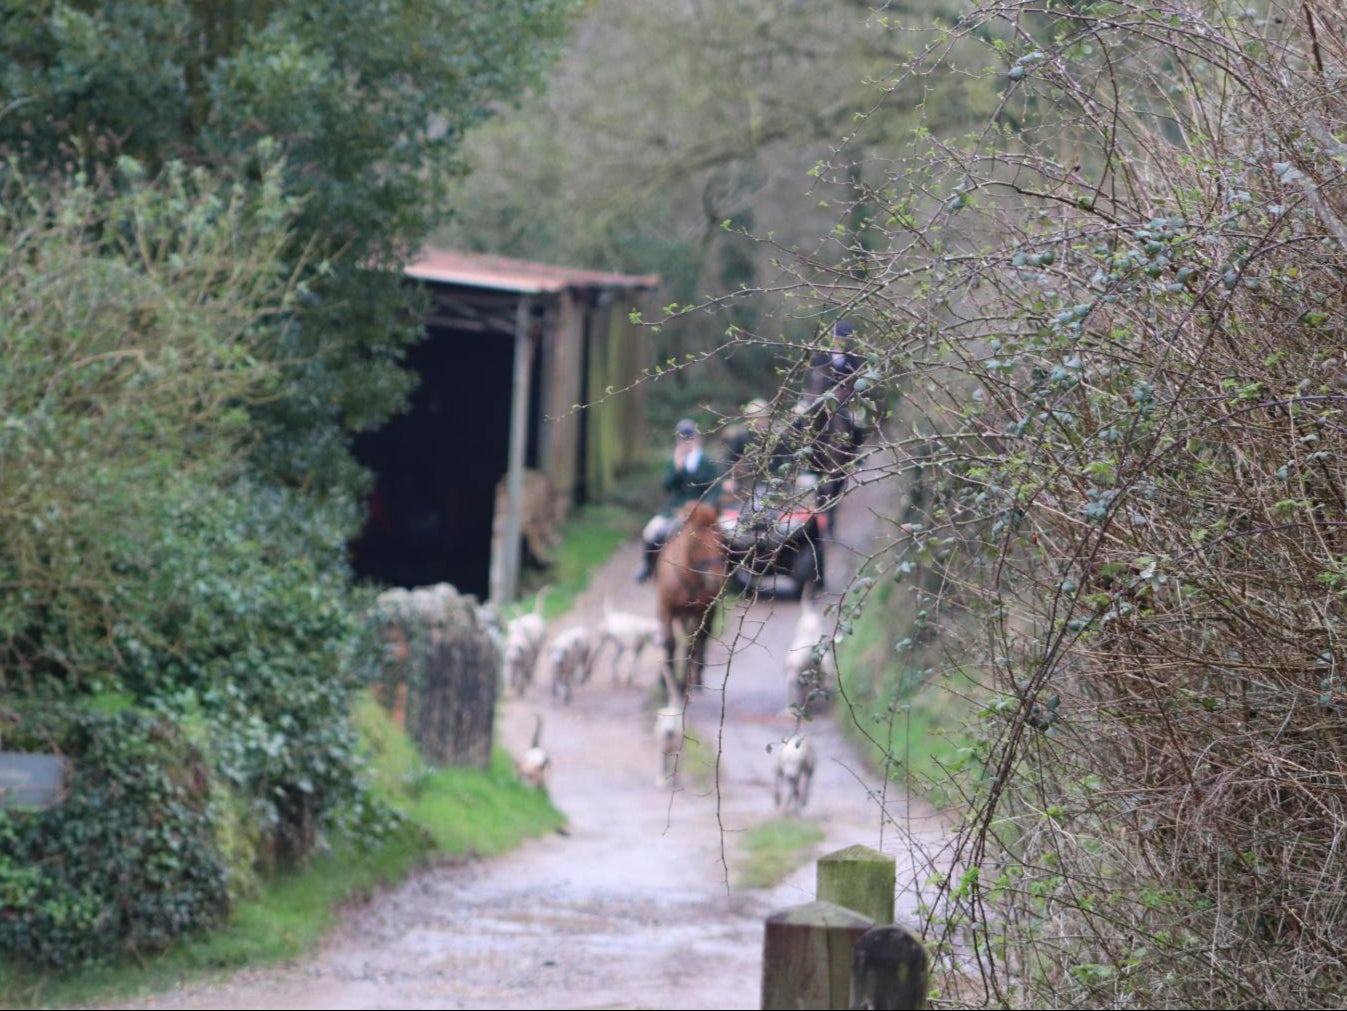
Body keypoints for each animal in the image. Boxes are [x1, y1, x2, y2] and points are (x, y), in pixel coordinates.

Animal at [651, 500, 727, 694]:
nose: (716, 578)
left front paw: (682, 683)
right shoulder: (665, 608)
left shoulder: (700, 612)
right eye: (696, 542)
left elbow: (691, 643)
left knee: (701, 638)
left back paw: (697, 676)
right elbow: (669, 642)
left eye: (722, 539)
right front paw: (666, 682)